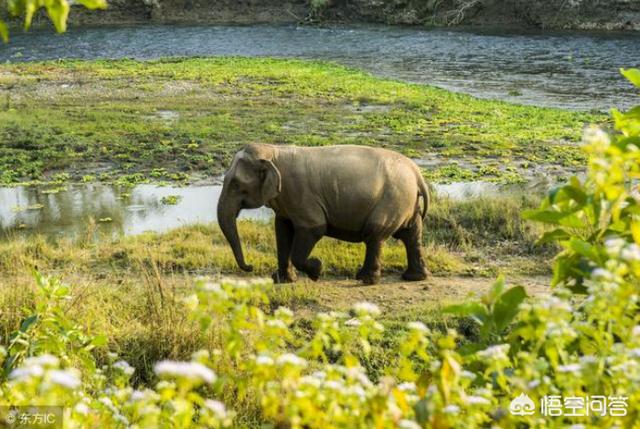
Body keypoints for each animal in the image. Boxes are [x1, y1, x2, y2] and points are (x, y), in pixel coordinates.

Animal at [218, 144, 432, 284]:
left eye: (236, 184)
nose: (250, 267)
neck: (274, 152)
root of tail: (416, 172)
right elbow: (282, 229)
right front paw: (282, 280)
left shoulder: (301, 195)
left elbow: (314, 228)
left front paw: (316, 270)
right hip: (405, 201)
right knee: (411, 233)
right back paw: (414, 277)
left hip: (392, 199)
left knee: (375, 234)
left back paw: (365, 279)